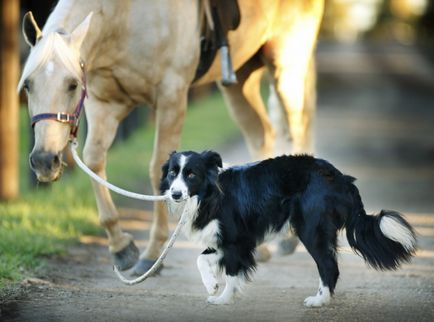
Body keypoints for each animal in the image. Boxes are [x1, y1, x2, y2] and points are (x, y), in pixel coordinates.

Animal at [18, 0, 324, 274]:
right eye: (28, 85)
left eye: (72, 84)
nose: (43, 160)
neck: (124, 15)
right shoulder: (104, 103)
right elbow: (94, 161)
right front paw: (121, 248)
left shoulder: (171, 98)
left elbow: (159, 170)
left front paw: (153, 255)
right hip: (240, 79)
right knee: (261, 134)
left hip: (287, 63)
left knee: (296, 129)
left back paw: (288, 239)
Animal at [160, 151, 418, 306]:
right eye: (173, 173)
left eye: (191, 174)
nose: (175, 194)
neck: (209, 195)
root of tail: (341, 178)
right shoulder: (225, 240)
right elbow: (201, 259)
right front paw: (211, 284)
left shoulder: (236, 241)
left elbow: (232, 273)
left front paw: (223, 298)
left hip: (311, 228)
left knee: (328, 265)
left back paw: (319, 300)